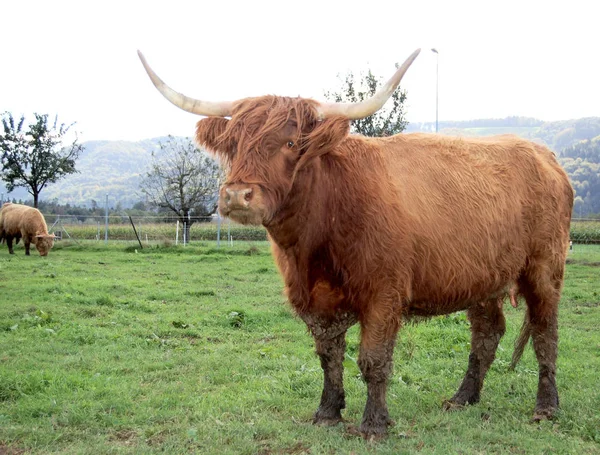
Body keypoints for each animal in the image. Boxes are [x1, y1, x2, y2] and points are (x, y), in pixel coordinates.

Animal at [138, 49, 576, 438]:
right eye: (232, 145)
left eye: (292, 144)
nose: (236, 195)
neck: (316, 242)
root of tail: (545, 155)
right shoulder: (316, 300)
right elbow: (329, 357)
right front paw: (328, 412)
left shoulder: (384, 293)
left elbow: (373, 360)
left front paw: (374, 424)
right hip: (482, 277)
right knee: (488, 333)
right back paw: (463, 398)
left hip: (544, 268)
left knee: (545, 333)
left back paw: (546, 408)